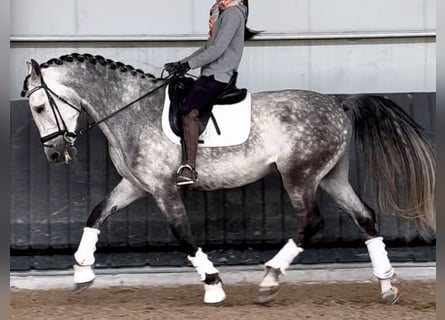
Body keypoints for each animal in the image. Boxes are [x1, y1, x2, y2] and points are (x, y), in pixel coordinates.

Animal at [21, 54, 434, 304]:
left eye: (40, 106)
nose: (56, 154)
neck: (131, 111)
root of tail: (338, 104)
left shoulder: (163, 188)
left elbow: (183, 235)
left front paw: (214, 286)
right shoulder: (136, 185)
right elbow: (96, 214)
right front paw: (81, 271)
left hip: (299, 175)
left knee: (312, 221)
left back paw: (270, 279)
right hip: (330, 175)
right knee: (365, 217)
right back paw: (387, 283)